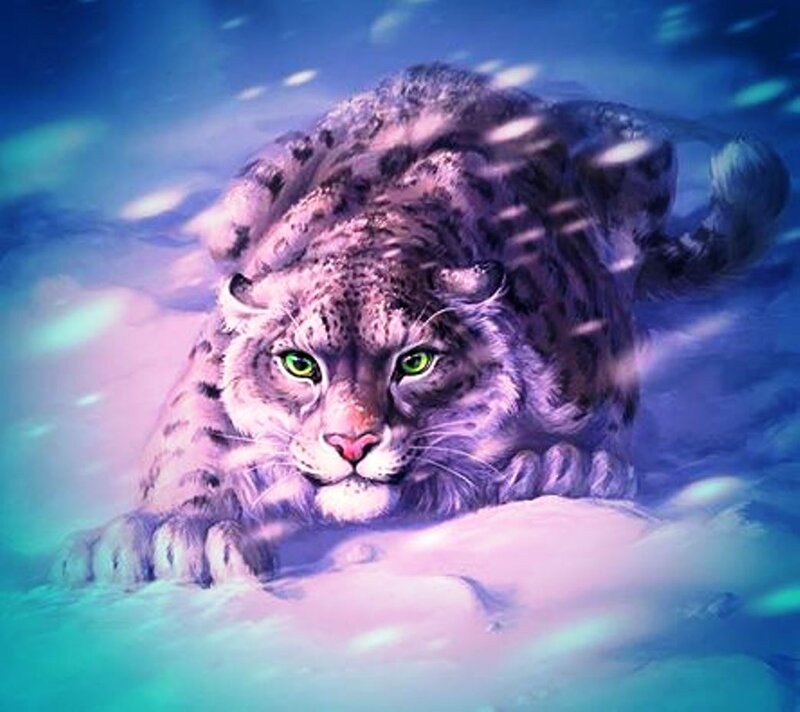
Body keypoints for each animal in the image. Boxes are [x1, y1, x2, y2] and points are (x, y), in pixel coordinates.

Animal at [56, 64, 789, 586]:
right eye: (299, 363)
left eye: (414, 362)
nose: (351, 443)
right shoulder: (214, 354)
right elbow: (194, 424)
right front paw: (172, 534)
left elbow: (598, 430)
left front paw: (559, 466)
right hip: (233, 214)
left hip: (639, 151)